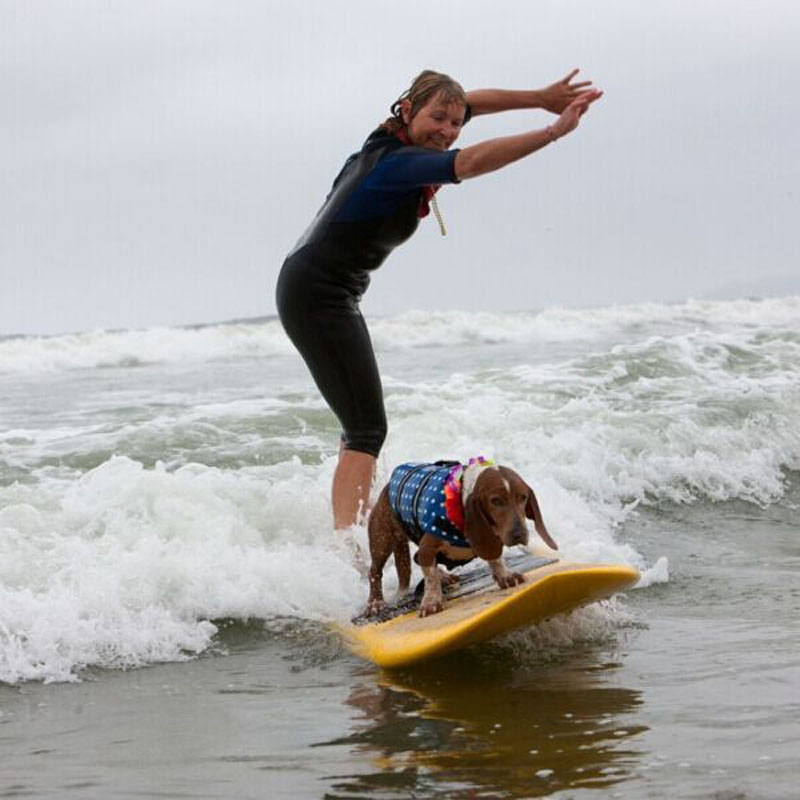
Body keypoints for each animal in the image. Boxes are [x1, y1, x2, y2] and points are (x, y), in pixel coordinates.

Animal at [368, 456, 560, 620]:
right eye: (495, 501)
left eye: (523, 497)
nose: (519, 534)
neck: (460, 499)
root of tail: (387, 488)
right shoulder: (427, 548)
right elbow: (430, 577)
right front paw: (431, 601)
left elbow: (495, 559)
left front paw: (504, 575)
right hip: (382, 541)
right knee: (375, 572)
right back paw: (375, 603)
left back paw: (445, 576)